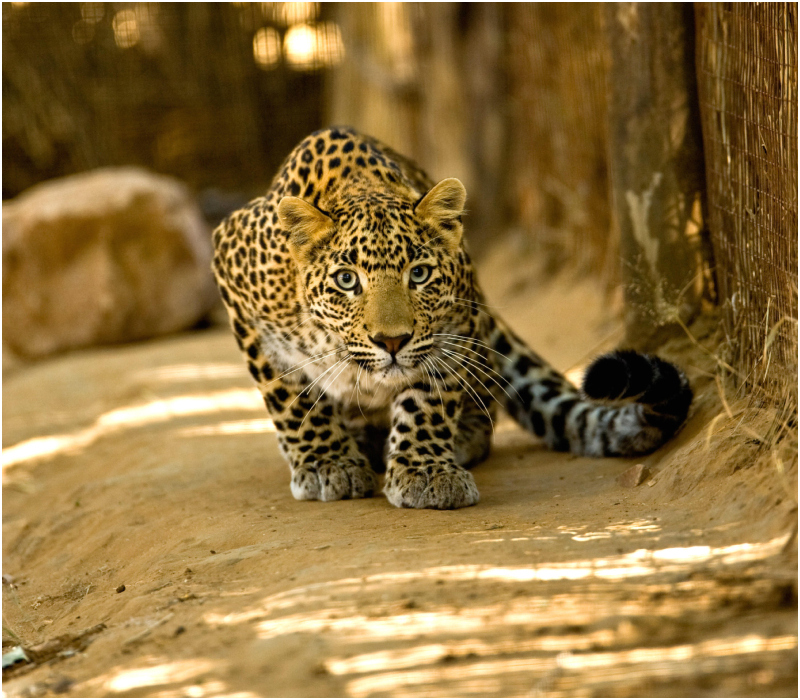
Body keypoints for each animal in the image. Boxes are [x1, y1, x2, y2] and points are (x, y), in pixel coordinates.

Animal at [212, 126, 692, 508]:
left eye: (419, 274)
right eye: (347, 280)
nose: (392, 341)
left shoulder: (453, 328)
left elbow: (428, 400)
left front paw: (425, 471)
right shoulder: (233, 274)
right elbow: (291, 397)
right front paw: (327, 464)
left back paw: (457, 437)